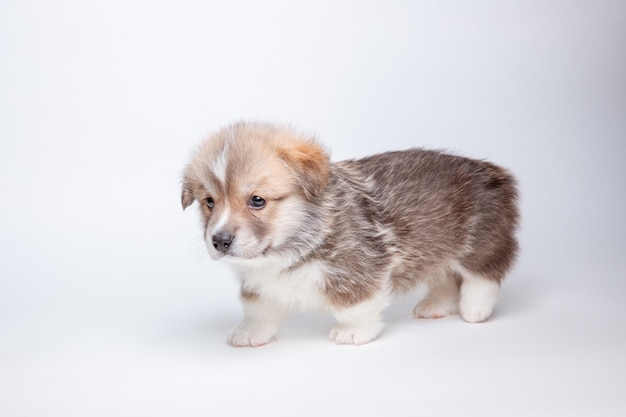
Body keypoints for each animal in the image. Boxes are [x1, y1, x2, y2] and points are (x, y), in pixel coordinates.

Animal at [180, 122, 516, 346]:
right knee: (443, 275)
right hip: (434, 247)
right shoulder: (259, 281)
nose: (220, 241)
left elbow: (355, 304)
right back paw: (436, 305)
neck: (293, 243)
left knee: (482, 275)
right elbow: (258, 308)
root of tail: (493, 171)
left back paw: (474, 309)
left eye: (257, 200)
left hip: (480, 241)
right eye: (209, 202)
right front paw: (250, 333)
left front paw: (354, 332)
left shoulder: (357, 268)